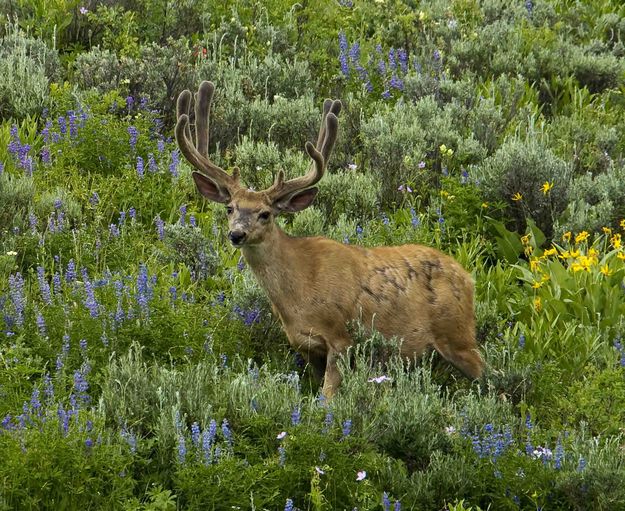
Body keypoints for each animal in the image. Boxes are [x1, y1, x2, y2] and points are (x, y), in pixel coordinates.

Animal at [174, 81, 482, 400]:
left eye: (265, 214)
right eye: (230, 208)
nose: (236, 234)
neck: (298, 293)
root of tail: (468, 277)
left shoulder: (340, 338)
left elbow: (327, 398)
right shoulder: (306, 346)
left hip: (458, 334)